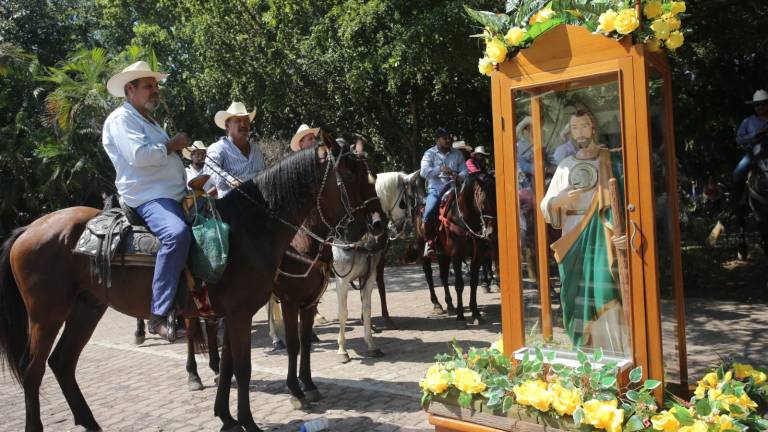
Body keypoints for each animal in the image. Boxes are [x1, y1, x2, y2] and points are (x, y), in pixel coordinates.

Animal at [0, 136, 382, 432]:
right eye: (350, 173)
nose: (377, 224)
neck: (250, 229)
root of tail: (28, 229)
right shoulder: (253, 310)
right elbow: (247, 366)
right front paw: (254, 418)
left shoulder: (258, 309)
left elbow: (233, 366)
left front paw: (228, 417)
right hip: (47, 315)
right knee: (33, 371)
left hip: (87, 308)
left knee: (63, 363)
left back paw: (93, 422)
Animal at [334, 170, 424, 362]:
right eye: (409, 198)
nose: (406, 228)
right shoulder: (341, 280)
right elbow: (343, 312)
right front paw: (342, 349)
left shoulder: (368, 276)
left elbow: (367, 308)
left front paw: (371, 344)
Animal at [414, 174, 498, 322]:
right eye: (484, 203)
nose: (491, 233)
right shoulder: (456, 255)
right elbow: (459, 284)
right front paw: (460, 315)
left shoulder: (477, 256)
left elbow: (473, 282)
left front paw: (475, 312)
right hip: (424, 253)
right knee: (429, 276)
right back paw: (437, 305)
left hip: (443, 255)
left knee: (443, 277)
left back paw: (450, 305)